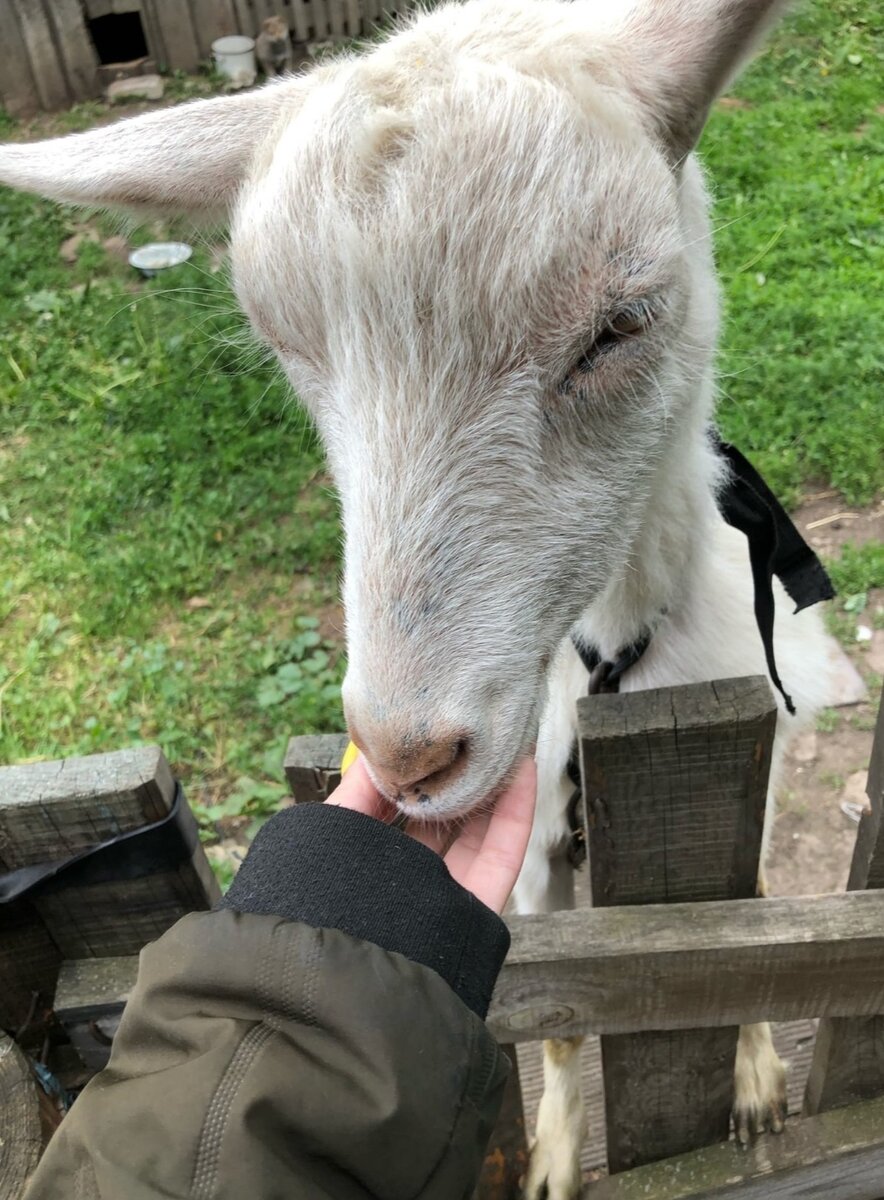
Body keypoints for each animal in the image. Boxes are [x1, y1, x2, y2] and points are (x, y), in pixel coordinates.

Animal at [0, 4, 830, 1195]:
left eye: (619, 325)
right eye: (282, 344)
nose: (406, 756)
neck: (613, 663)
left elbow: (748, 911)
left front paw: (757, 1077)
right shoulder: (531, 861)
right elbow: (563, 1016)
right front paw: (555, 1157)